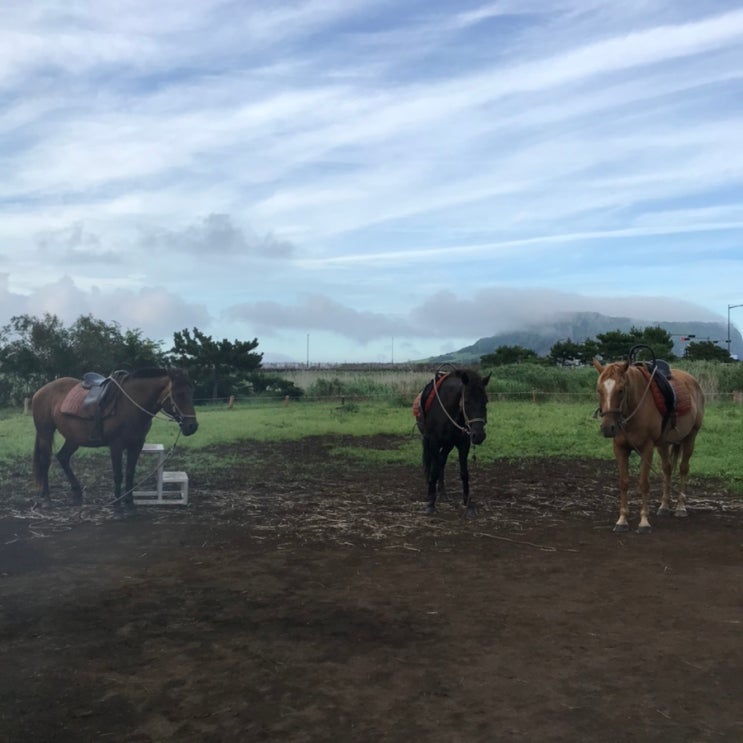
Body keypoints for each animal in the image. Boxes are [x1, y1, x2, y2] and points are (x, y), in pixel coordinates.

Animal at [32, 368, 198, 508]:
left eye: (191, 393)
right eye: (179, 394)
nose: (192, 426)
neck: (131, 405)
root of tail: (40, 392)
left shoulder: (136, 444)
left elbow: (130, 473)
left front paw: (130, 503)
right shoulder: (116, 445)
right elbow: (118, 474)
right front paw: (117, 504)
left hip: (73, 438)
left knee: (63, 457)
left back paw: (77, 494)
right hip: (45, 434)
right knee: (45, 462)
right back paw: (47, 498)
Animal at [416, 368, 492, 516]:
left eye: (485, 401)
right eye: (466, 401)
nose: (479, 435)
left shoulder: (463, 444)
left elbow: (464, 473)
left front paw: (468, 502)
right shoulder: (433, 441)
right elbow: (434, 469)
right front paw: (431, 503)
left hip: (448, 444)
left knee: (441, 461)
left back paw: (443, 493)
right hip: (427, 440)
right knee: (430, 462)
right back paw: (430, 488)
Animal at [592, 350, 704, 536]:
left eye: (621, 390)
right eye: (599, 390)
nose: (608, 428)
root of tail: (692, 381)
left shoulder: (647, 448)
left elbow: (644, 484)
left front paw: (644, 522)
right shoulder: (620, 448)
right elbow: (623, 483)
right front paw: (622, 520)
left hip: (690, 437)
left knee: (683, 468)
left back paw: (680, 507)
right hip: (664, 443)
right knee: (667, 468)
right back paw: (664, 506)